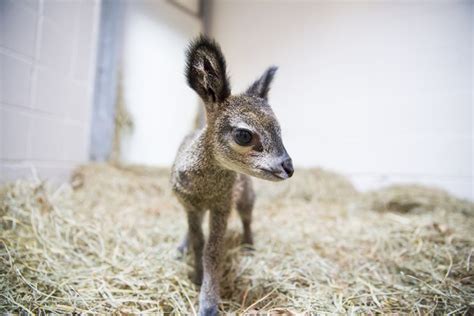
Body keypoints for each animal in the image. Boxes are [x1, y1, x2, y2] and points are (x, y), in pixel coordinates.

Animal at [170, 35, 292, 314]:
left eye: (280, 131)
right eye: (244, 135)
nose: (289, 167)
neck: (205, 189)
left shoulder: (222, 206)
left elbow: (212, 251)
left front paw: (208, 302)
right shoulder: (190, 204)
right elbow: (198, 241)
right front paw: (196, 276)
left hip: (246, 195)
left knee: (247, 217)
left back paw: (249, 246)